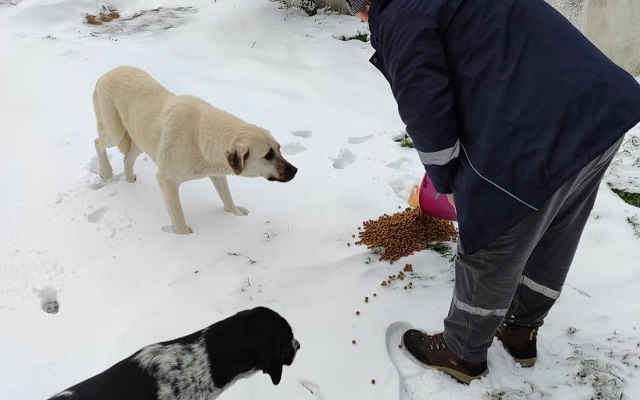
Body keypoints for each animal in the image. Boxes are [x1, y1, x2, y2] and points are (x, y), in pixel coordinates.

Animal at [92, 66, 298, 234]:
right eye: (268, 155)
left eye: (279, 149)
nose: (295, 170)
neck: (200, 137)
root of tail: (104, 75)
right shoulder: (167, 181)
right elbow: (179, 218)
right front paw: (186, 240)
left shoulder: (216, 172)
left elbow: (227, 199)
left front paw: (237, 216)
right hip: (115, 132)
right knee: (98, 143)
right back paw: (106, 171)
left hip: (140, 138)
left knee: (127, 158)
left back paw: (130, 184)